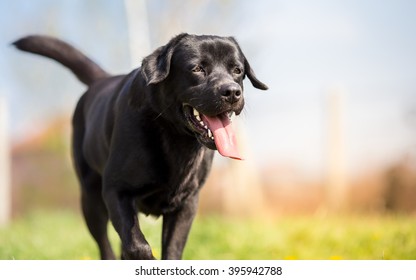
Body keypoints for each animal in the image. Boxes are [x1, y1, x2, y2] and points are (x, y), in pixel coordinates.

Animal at [13, 34, 268, 260]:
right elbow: (137, 246)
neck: (175, 138)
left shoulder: (187, 203)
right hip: (90, 199)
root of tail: (101, 80)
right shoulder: (116, 191)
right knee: (105, 247)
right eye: (197, 68)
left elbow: (171, 250)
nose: (232, 92)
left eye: (237, 70)